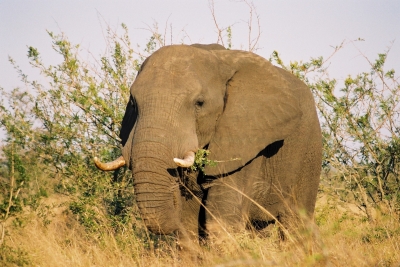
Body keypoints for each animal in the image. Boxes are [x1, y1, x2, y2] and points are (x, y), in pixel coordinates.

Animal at [94, 43, 322, 247]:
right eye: (133, 103)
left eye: (199, 103)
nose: (174, 188)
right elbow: (188, 224)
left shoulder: (245, 141)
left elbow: (221, 221)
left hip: (309, 150)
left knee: (296, 222)